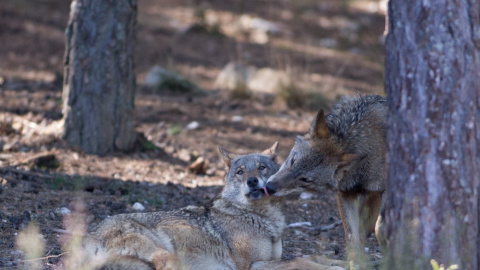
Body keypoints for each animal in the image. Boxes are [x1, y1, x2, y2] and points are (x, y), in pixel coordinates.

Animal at [82, 142, 344, 268]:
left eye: (261, 168)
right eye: (240, 172)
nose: (252, 181)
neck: (263, 219)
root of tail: (89, 236)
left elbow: (312, 257)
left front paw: (342, 262)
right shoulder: (251, 266)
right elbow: (303, 261)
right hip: (166, 254)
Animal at [264, 95, 388, 262]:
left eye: (305, 179)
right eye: (293, 160)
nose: (269, 187)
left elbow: (381, 229)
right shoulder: (345, 193)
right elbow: (352, 237)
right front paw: (356, 262)